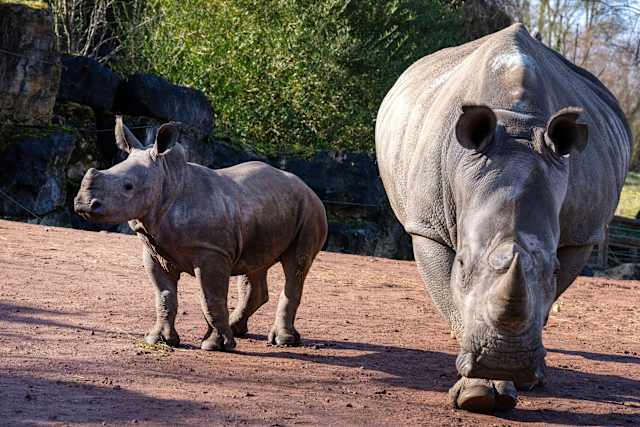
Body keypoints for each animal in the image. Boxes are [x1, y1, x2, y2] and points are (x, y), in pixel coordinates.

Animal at [74, 118, 327, 350]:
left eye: (128, 186)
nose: (83, 204)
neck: (168, 180)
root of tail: (307, 186)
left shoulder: (211, 252)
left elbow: (210, 299)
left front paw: (217, 345)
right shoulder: (155, 252)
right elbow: (164, 296)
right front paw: (160, 340)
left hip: (310, 210)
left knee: (296, 265)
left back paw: (282, 341)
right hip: (262, 208)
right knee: (254, 266)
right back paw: (237, 329)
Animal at [376, 24, 631, 412]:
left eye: (553, 269)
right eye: (462, 264)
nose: (504, 359)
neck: (517, 125)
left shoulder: (580, 235)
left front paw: (512, 380)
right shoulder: (426, 226)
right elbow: (451, 297)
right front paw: (479, 394)